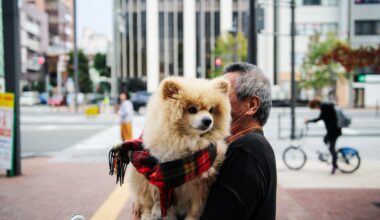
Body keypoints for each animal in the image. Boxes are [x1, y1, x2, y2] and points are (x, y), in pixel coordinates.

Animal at [127, 76, 230, 219]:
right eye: (192, 109)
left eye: (211, 111)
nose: (208, 120)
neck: (185, 140)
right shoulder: (148, 171)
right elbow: (150, 198)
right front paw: (150, 213)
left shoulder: (201, 184)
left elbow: (196, 207)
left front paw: (191, 218)